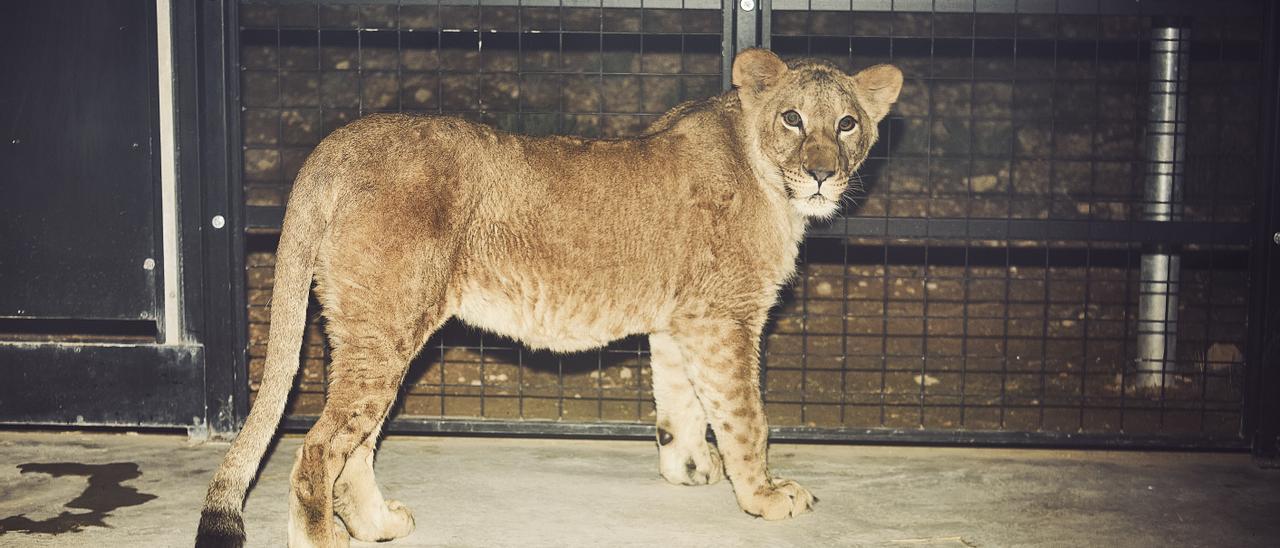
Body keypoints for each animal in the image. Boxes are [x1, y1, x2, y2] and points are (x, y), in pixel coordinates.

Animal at [197, 49, 901, 545]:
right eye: (792, 118)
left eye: (847, 124)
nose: (822, 173)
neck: (767, 177)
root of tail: (339, 145)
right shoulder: (725, 319)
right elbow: (745, 418)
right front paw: (764, 496)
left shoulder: (682, 320)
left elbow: (681, 404)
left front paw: (688, 469)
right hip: (387, 324)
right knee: (321, 447)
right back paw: (330, 539)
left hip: (369, 329)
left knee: (358, 442)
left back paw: (379, 526)